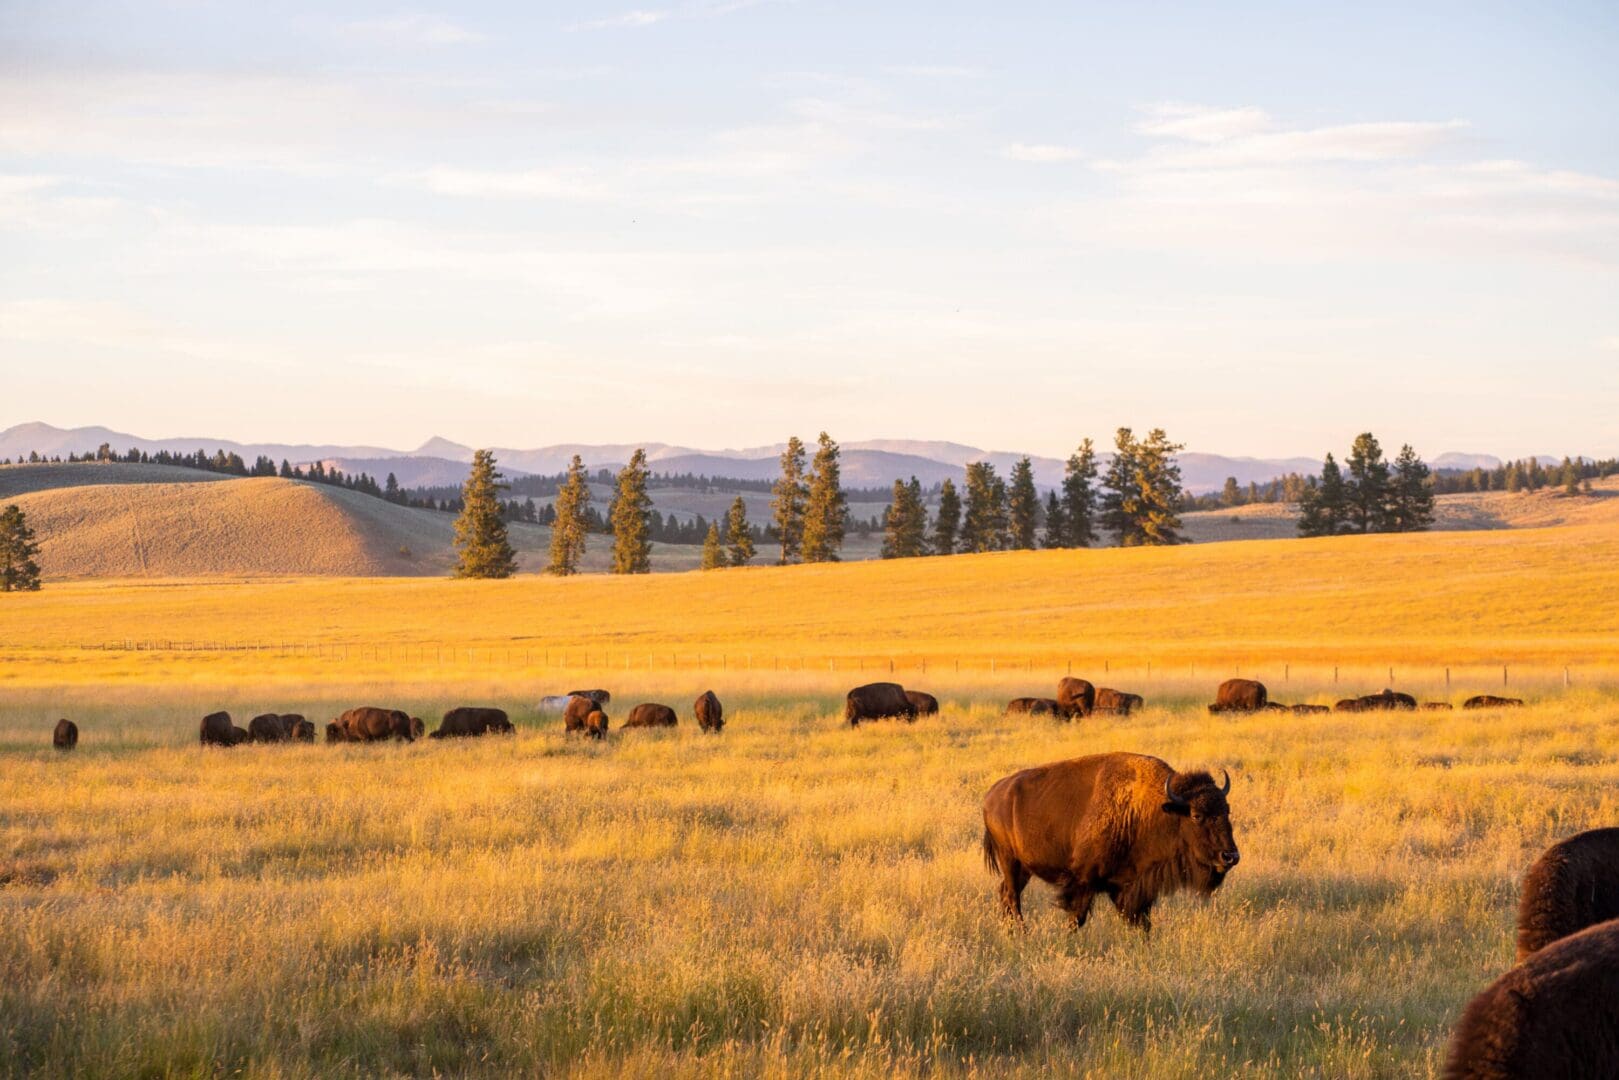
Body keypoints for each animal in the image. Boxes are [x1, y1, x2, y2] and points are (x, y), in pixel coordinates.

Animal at [983, 752, 1238, 931]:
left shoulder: (1134, 887)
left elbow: (1142, 923)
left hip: (1024, 868)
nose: (1230, 856)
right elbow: (1076, 918)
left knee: (1006, 894)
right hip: (1009, 860)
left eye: (1227, 811)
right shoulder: (1083, 881)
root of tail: (991, 795)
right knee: (1012, 897)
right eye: (1196, 815)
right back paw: (1022, 934)